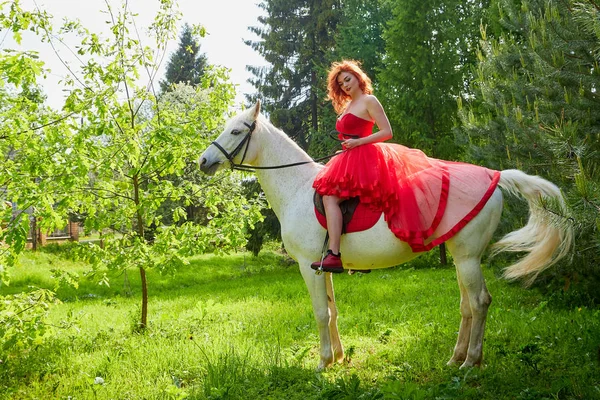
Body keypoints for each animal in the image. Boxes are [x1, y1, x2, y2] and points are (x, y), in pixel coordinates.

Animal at [198, 101, 572, 368]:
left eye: (236, 131)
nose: (203, 161)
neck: (297, 187)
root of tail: (494, 176)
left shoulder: (306, 265)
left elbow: (320, 314)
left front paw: (322, 363)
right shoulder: (322, 266)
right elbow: (333, 311)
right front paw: (339, 358)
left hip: (466, 257)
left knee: (479, 302)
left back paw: (471, 363)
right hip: (462, 256)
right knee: (467, 304)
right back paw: (455, 358)